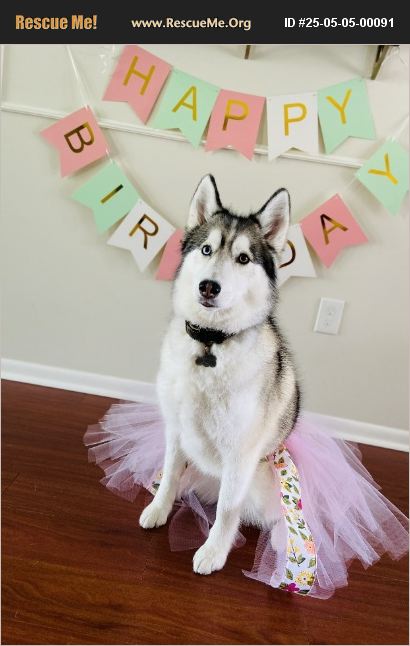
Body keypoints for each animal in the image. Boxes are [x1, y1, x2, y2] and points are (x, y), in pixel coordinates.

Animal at [139, 174, 300, 575]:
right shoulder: (176, 430)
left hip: (263, 476)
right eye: (206, 250)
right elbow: (169, 474)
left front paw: (213, 551)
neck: (210, 344)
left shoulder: (239, 455)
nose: (209, 286)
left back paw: (283, 545)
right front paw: (159, 508)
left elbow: (228, 510)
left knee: (277, 513)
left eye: (243, 258)